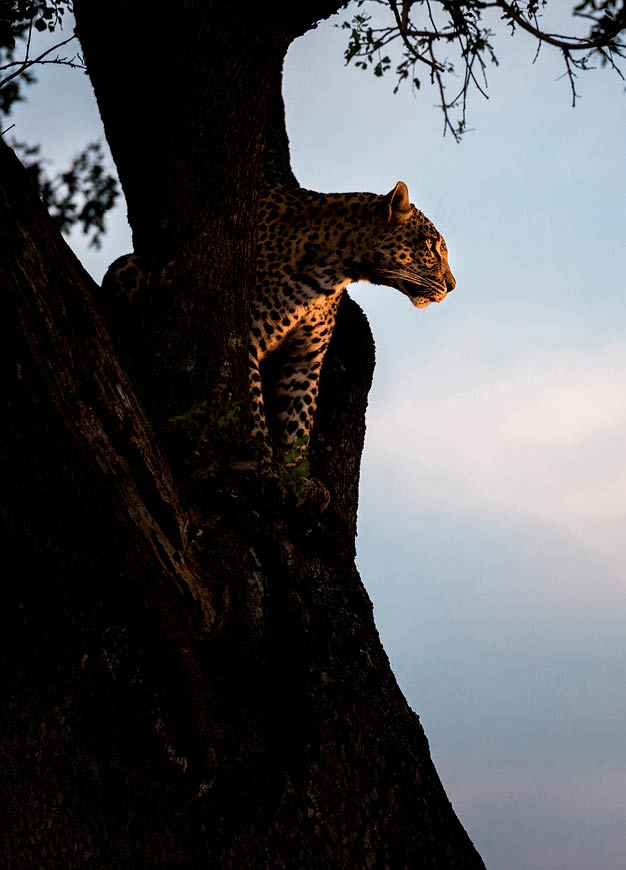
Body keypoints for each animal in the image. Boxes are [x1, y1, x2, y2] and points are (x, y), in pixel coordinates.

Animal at [101, 181, 455, 506]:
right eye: (431, 246)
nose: (452, 286)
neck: (332, 271)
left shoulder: (305, 359)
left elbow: (298, 420)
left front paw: (298, 478)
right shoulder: (249, 337)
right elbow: (254, 408)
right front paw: (267, 469)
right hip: (129, 267)